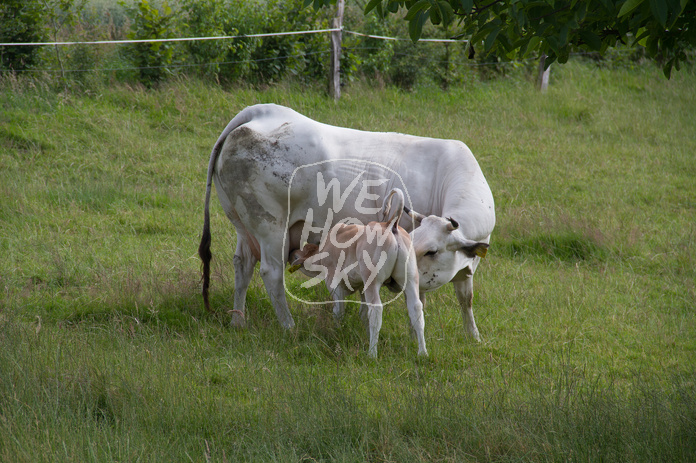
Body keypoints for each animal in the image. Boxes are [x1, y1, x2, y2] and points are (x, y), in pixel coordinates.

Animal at [198, 102, 494, 340]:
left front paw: (473, 336)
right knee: (271, 273)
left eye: (432, 250)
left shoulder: (467, 266)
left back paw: (238, 321)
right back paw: (289, 326)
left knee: (243, 266)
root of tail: (259, 113)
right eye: (420, 246)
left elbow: (465, 298)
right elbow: (418, 298)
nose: (394, 282)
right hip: (270, 226)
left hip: (244, 226)